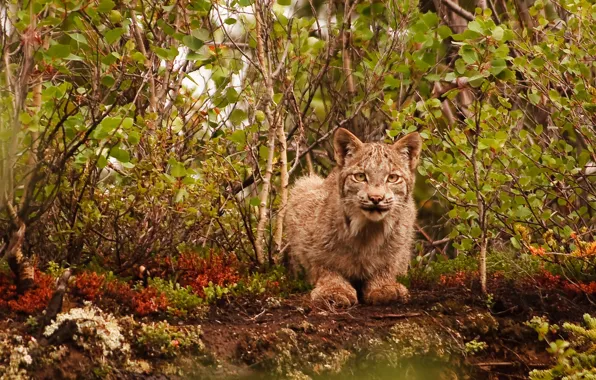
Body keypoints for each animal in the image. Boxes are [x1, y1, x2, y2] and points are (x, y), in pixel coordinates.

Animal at [286, 129, 422, 308]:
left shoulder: (403, 229)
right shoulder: (305, 208)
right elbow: (324, 264)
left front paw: (384, 286)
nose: (376, 198)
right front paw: (334, 289)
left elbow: (388, 263)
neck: (368, 229)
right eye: (360, 176)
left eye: (392, 178)